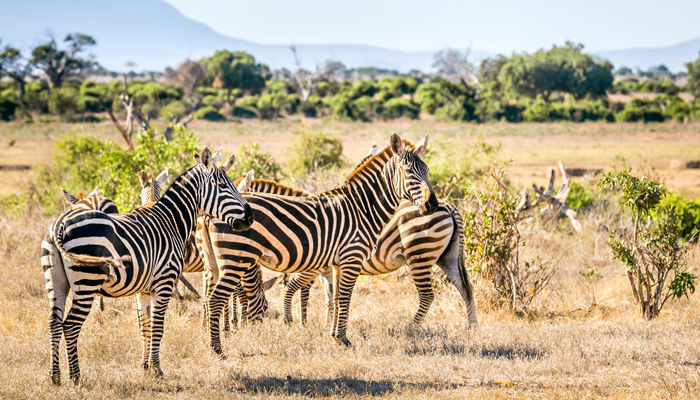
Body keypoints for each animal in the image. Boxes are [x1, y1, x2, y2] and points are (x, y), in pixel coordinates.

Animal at [44, 146, 253, 385]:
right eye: (223, 186)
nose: (250, 217)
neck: (172, 222)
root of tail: (60, 226)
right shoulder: (164, 283)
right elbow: (157, 328)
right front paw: (157, 369)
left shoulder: (143, 289)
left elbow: (145, 327)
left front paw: (145, 367)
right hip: (86, 281)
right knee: (70, 325)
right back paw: (76, 377)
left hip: (55, 281)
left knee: (53, 323)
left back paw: (55, 377)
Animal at [200, 132, 438, 354]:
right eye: (408, 171)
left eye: (426, 170)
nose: (432, 204)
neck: (362, 209)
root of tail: (212, 213)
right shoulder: (352, 257)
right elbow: (344, 298)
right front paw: (343, 339)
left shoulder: (338, 263)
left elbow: (336, 298)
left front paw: (334, 335)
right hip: (236, 259)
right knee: (216, 299)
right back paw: (216, 349)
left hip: (218, 262)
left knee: (209, 297)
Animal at [240, 145, 478, 328]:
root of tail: (448, 206)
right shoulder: (328, 269)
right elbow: (331, 298)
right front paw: (326, 325)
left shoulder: (314, 266)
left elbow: (295, 290)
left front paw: (297, 323)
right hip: (446, 257)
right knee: (466, 289)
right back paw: (471, 329)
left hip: (420, 254)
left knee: (428, 295)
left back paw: (411, 328)